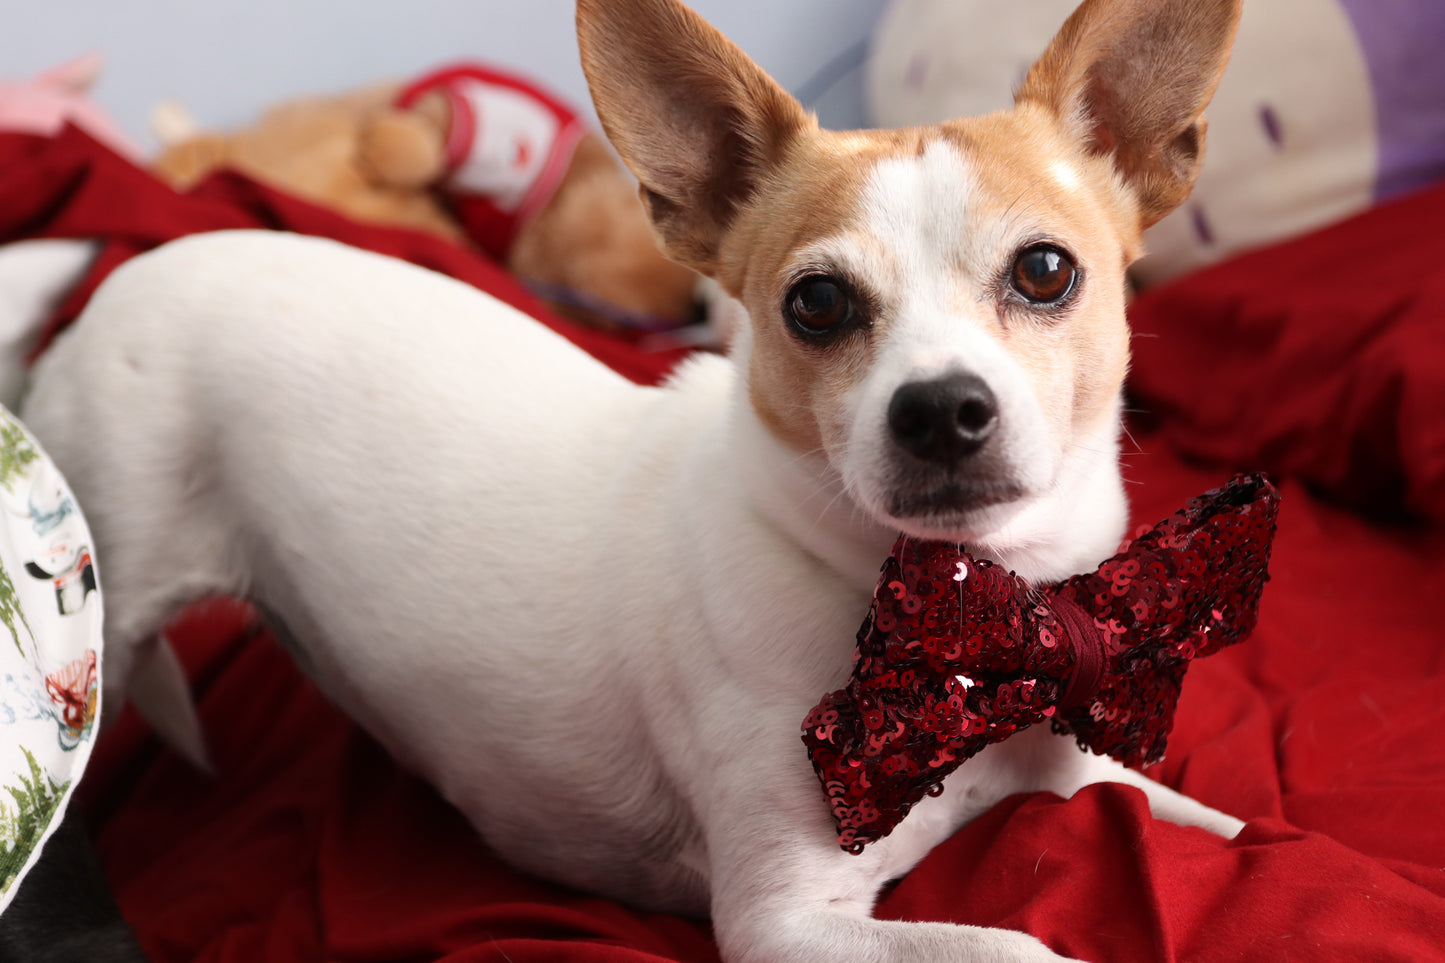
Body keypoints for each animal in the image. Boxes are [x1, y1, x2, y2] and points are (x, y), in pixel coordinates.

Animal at [16, 0, 1242, 954]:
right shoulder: (786, 923)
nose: (939, 408)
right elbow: (1016, 944)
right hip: (111, 605)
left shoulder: (1078, 779)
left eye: (1043, 272)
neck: (962, 602)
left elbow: (1213, 826)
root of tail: (129, 272)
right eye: (816, 303)